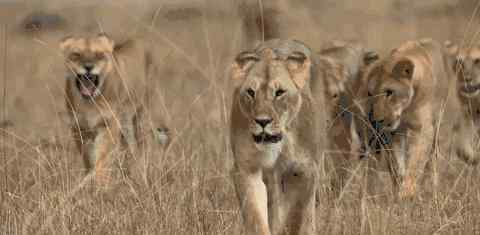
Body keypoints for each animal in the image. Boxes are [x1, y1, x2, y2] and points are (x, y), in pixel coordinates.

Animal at [60, 33, 154, 187]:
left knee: (137, 148)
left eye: (99, 55)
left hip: (138, 117)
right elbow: (87, 157)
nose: (88, 67)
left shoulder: (109, 124)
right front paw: (90, 178)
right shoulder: (78, 128)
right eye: (76, 54)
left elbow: (101, 158)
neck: (89, 103)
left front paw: (100, 183)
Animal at [230, 39, 322, 234]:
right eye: (251, 92)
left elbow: (295, 216)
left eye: (279, 92)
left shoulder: (304, 170)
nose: (263, 121)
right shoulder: (246, 168)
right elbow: (255, 216)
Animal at [362, 38, 452, 198]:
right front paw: (399, 188)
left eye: (389, 92)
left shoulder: (423, 129)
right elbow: (396, 164)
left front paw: (407, 193)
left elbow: (415, 162)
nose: (376, 120)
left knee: (433, 157)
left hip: (438, 121)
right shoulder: (393, 132)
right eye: (370, 93)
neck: (405, 108)